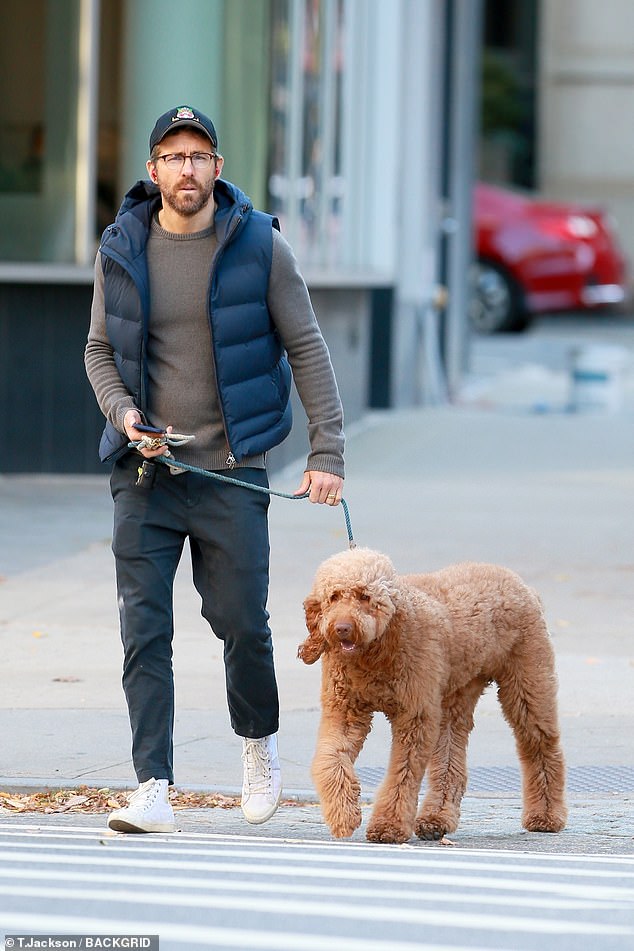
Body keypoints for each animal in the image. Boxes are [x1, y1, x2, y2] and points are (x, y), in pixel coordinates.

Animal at [298, 548, 568, 844]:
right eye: (334, 597)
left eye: (365, 597)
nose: (342, 628)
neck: (373, 655)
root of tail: (525, 587)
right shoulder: (345, 712)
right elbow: (331, 759)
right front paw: (343, 814)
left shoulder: (415, 717)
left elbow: (402, 774)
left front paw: (388, 825)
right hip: (456, 697)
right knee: (450, 757)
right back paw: (436, 819)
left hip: (528, 686)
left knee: (541, 746)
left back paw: (546, 816)